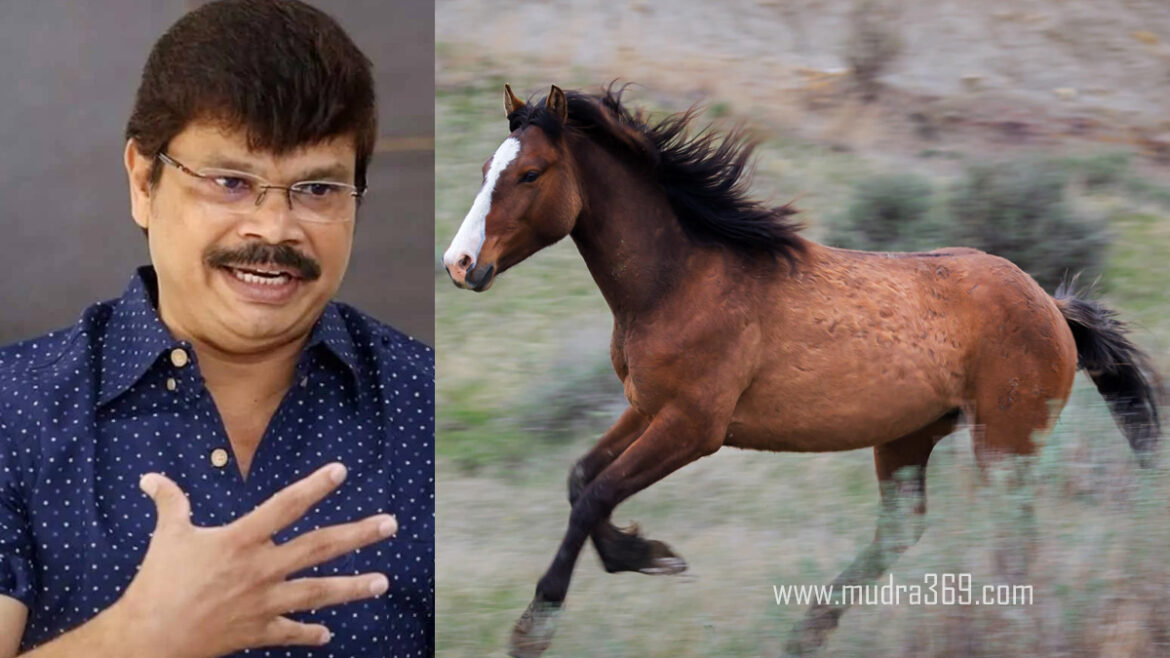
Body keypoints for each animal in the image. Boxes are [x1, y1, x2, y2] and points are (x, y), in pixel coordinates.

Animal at [441, 83, 1163, 656]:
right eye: (484, 167)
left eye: (531, 173)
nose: (459, 263)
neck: (682, 279)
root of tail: (1051, 306)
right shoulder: (646, 407)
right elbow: (581, 479)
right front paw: (645, 554)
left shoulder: (693, 427)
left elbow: (597, 494)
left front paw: (538, 625)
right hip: (909, 437)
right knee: (902, 528)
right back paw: (805, 633)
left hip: (1005, 442)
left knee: (1012, 536)